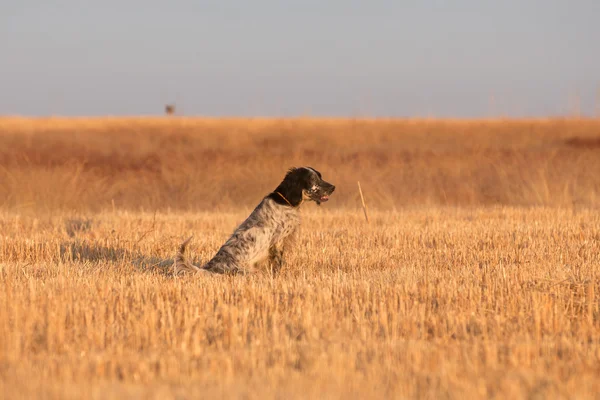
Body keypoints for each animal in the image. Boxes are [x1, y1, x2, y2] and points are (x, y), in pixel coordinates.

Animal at [173, 166, 336, 276]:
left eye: (320, 176)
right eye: (313, 180)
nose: (333, 187)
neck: (285, 201)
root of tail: (209, 270)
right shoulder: (277, 242)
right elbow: (277, 264)